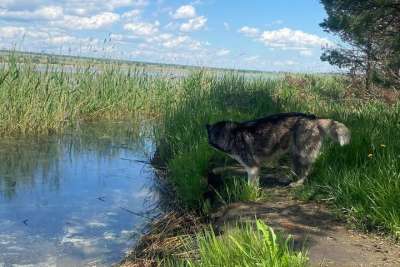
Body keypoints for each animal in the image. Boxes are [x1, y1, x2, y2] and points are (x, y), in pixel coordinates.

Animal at [206, 113, 350, 188]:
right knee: (297, 169)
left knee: (305, 171)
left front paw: (250, 192)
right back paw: (289, 178)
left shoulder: (252, 167)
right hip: (294, 153)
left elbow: (251, 184)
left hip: (302, 154)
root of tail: (314, 119)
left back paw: (298, 183)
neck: (232, 134)